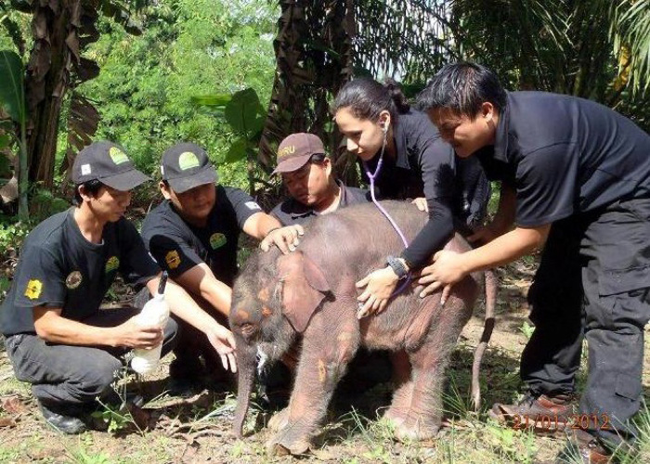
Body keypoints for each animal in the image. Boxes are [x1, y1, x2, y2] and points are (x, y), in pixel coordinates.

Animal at [230, 201, 494, 454]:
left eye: (246, 326)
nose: (242, 437)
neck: (293, 253)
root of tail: (471, 247)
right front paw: (280, 423)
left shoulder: (336, 290)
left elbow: (329, 355)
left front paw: (281, 445)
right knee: (402, 354)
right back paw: (391, 422)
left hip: (448, 292)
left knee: (425, 355)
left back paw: (411, 433)